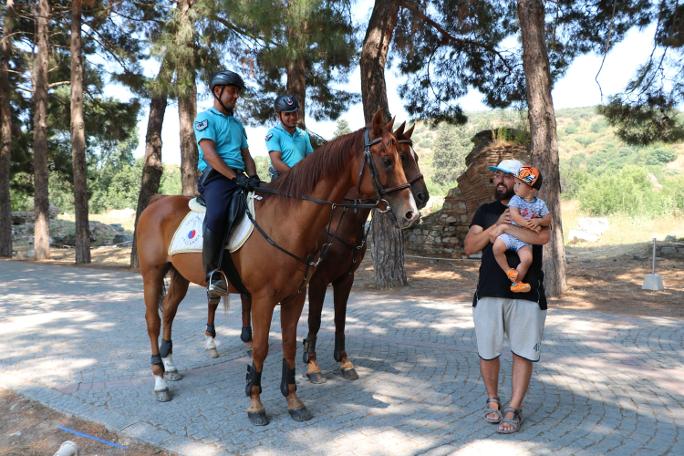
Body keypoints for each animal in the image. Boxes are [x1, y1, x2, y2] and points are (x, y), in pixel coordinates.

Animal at [136, 112, 420, 426]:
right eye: (389, 160)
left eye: (407, 157)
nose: (412, 212)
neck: (287, 221)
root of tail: (158, 201)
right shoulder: (267, 297)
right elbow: (263, 346)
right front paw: (256, 403)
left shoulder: (299, 294)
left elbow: (291, 343)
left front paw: (294, 400)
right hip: (152, 275)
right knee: (153, 321)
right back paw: (160, 380)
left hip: (180, 277)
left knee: (169, 313)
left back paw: (171, 365)